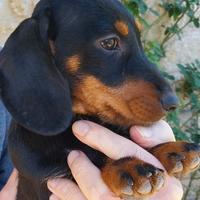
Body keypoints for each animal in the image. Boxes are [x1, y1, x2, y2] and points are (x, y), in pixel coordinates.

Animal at [0, 0, 199, 200]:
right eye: (109, 43)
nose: (173, 103)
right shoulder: (46, 180)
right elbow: (89, 159)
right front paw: (127, 167)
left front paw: (170, 150)